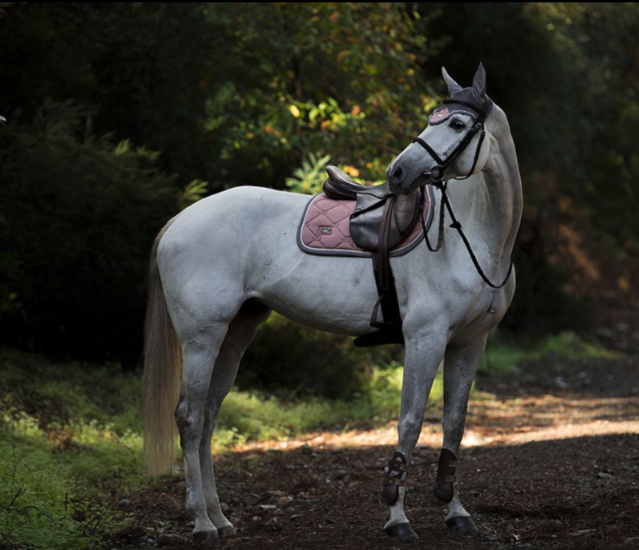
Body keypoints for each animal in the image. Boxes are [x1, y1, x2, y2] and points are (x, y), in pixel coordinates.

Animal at [146, 64, 524, 544]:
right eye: (432, 119)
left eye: (457, 123)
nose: (398, 172)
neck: (472, 238)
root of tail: (181, 219)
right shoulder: (426, 338)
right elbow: (410, 420)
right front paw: (397, 518)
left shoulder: (470, 343)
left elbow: (454, 423)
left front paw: (455, 511)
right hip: (201, 337)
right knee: (190, 418)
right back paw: (200, 523)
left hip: (236, 332)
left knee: (209, 416)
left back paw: (219, 517)